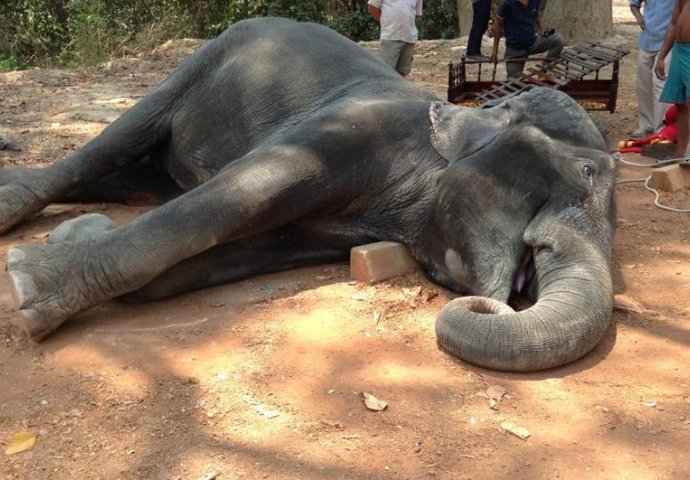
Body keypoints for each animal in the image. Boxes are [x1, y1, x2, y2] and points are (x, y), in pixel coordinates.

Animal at [0, 17, 616, 372]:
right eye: (586, 170)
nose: (507, 298)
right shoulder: (345, 132)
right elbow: (239, 193)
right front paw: (28, 285)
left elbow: (226, 254)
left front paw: (73, 239)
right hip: (199, 63)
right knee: (116, 142)